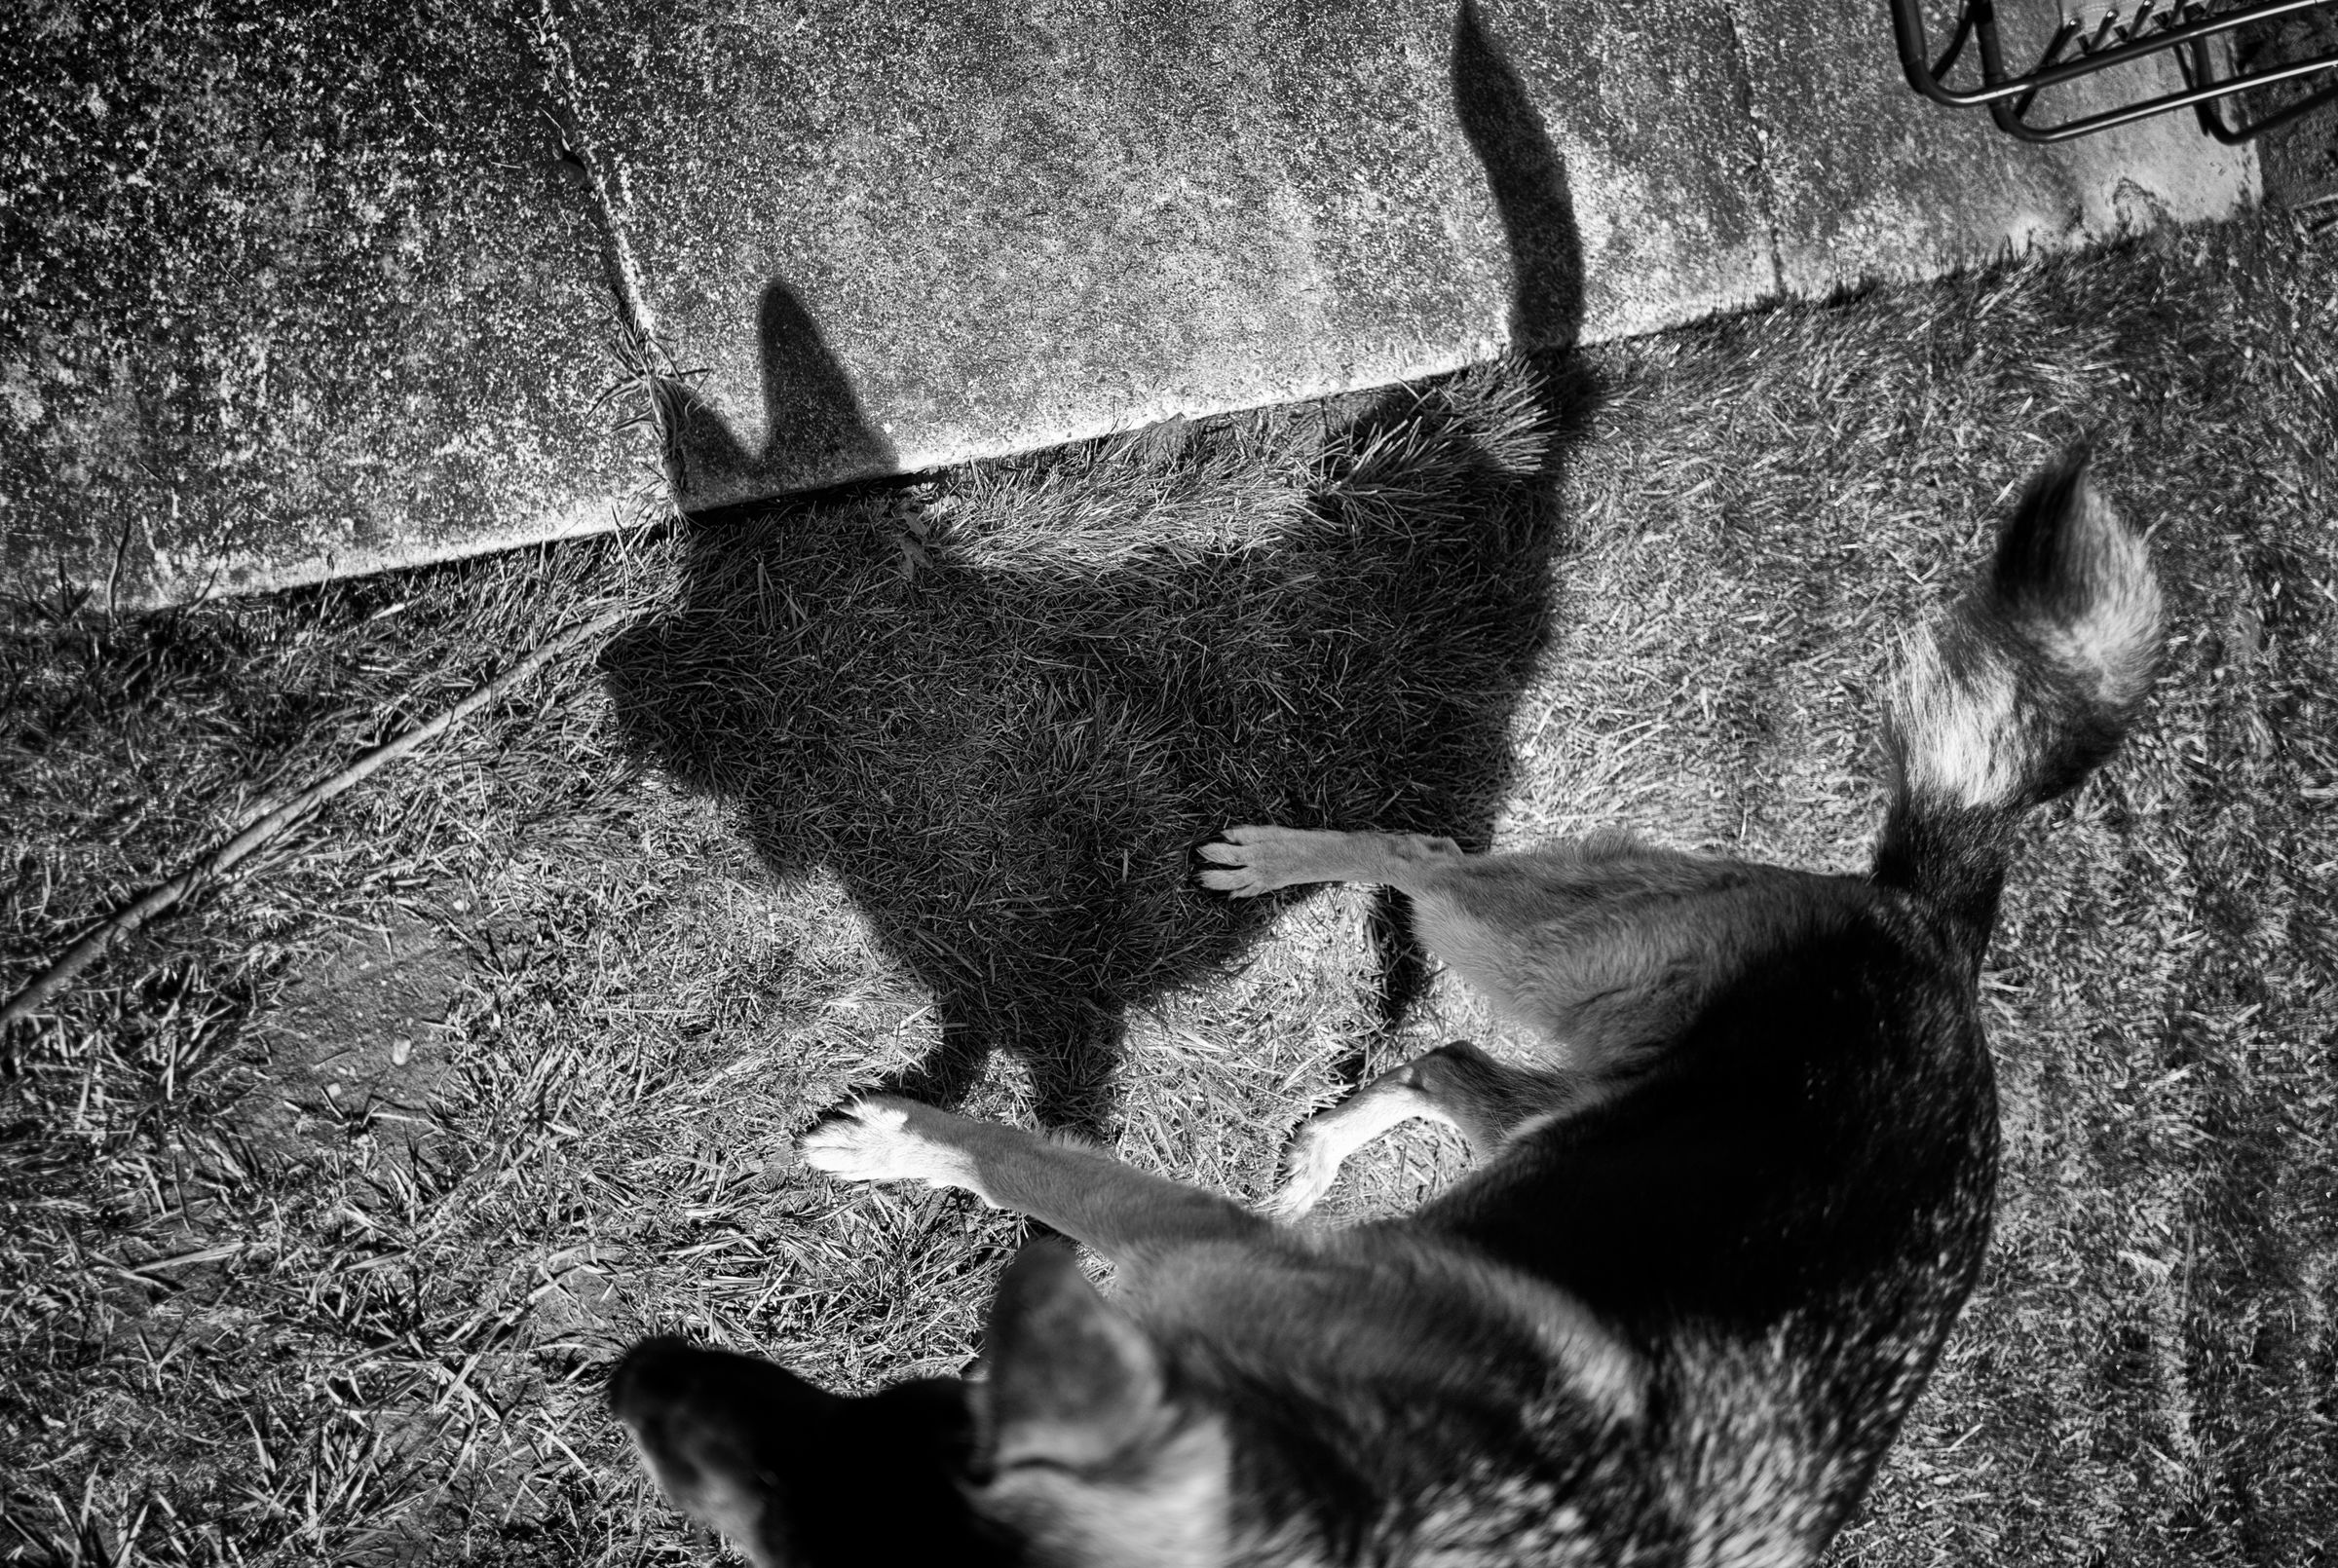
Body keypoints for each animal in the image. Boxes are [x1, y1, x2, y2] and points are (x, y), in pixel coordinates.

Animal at [612, 448, 2160, 1560]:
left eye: (819, 1486)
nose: (631, 1377)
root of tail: (1941, 933)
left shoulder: (1176, 1243)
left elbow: (1031, 1152)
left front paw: (898, 1139)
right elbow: (1028, 1137)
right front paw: (902, 1132)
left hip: (1565, 1049)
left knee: (1442, 1021)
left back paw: (1313, 1139)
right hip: (1552, 978)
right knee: (1423, 885)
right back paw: (1280, 905)